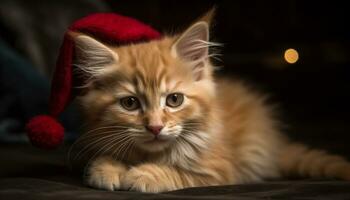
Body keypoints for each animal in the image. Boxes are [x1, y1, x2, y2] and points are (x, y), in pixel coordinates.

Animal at [71, 11, 350, 193]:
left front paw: (145, 174)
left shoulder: (222, 170)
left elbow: (180, 173)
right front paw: (106, 168)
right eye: (129, 103)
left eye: (174, 100)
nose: (155, 127)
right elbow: (101, 157)